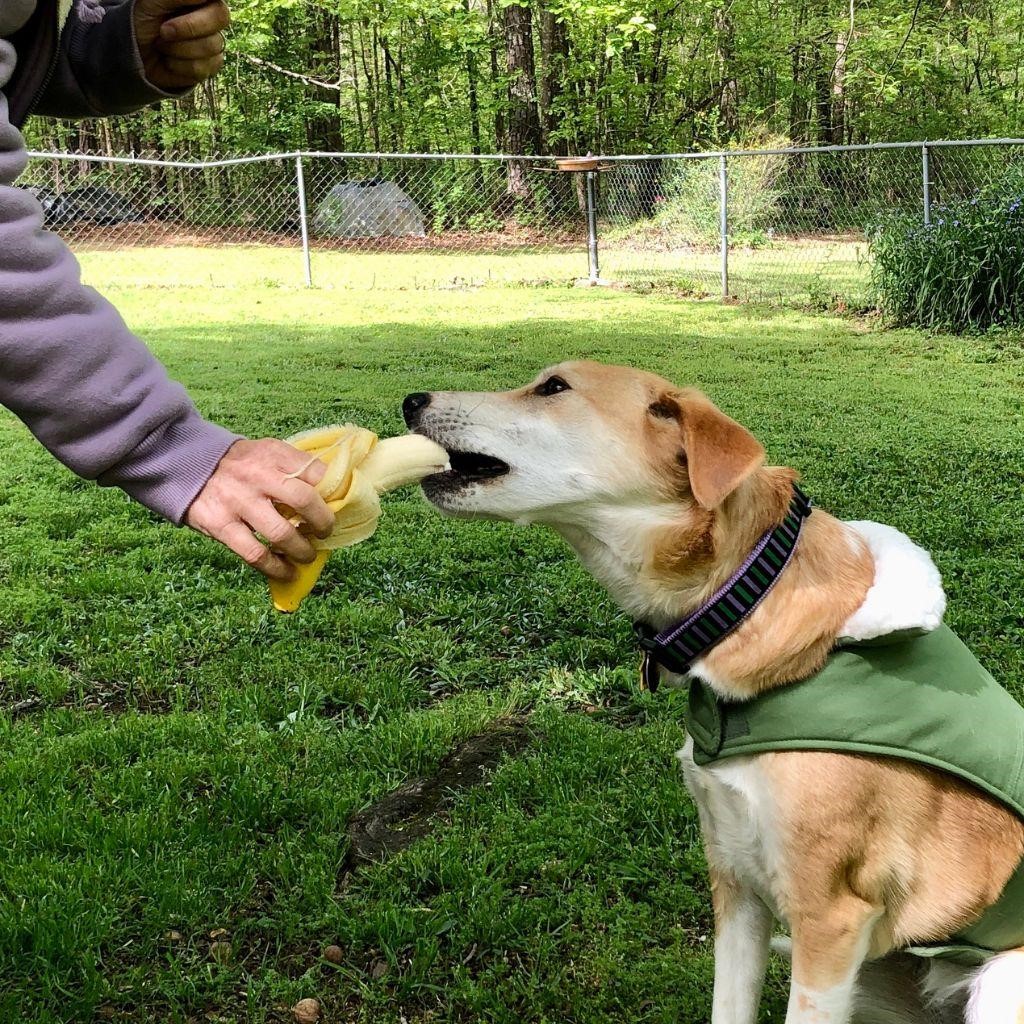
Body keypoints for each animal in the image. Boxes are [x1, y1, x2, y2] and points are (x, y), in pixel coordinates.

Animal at [403, 360, 1024, 1024]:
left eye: (553, 388)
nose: (411, 399)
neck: (746, 597)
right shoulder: (736, 881)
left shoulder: (828, 922)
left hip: (993, 982)